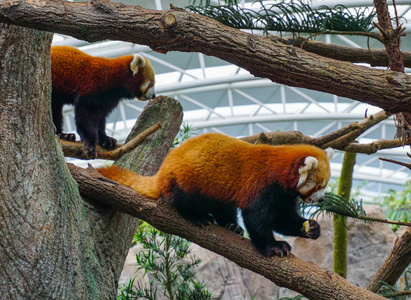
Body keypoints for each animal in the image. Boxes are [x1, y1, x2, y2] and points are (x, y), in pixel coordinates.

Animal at [98, 132, 334, 256]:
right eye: (319, 186)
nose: (322, 199)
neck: (278, 172)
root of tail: (163, 170)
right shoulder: (260, 187)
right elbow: (257, 220)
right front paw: (274, 246)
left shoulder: (284, 196)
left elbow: (282, 219)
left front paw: (311, 227)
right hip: (185, 179)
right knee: (182, 200)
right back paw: (198, 217)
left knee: (224, 207)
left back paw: (231, 226)